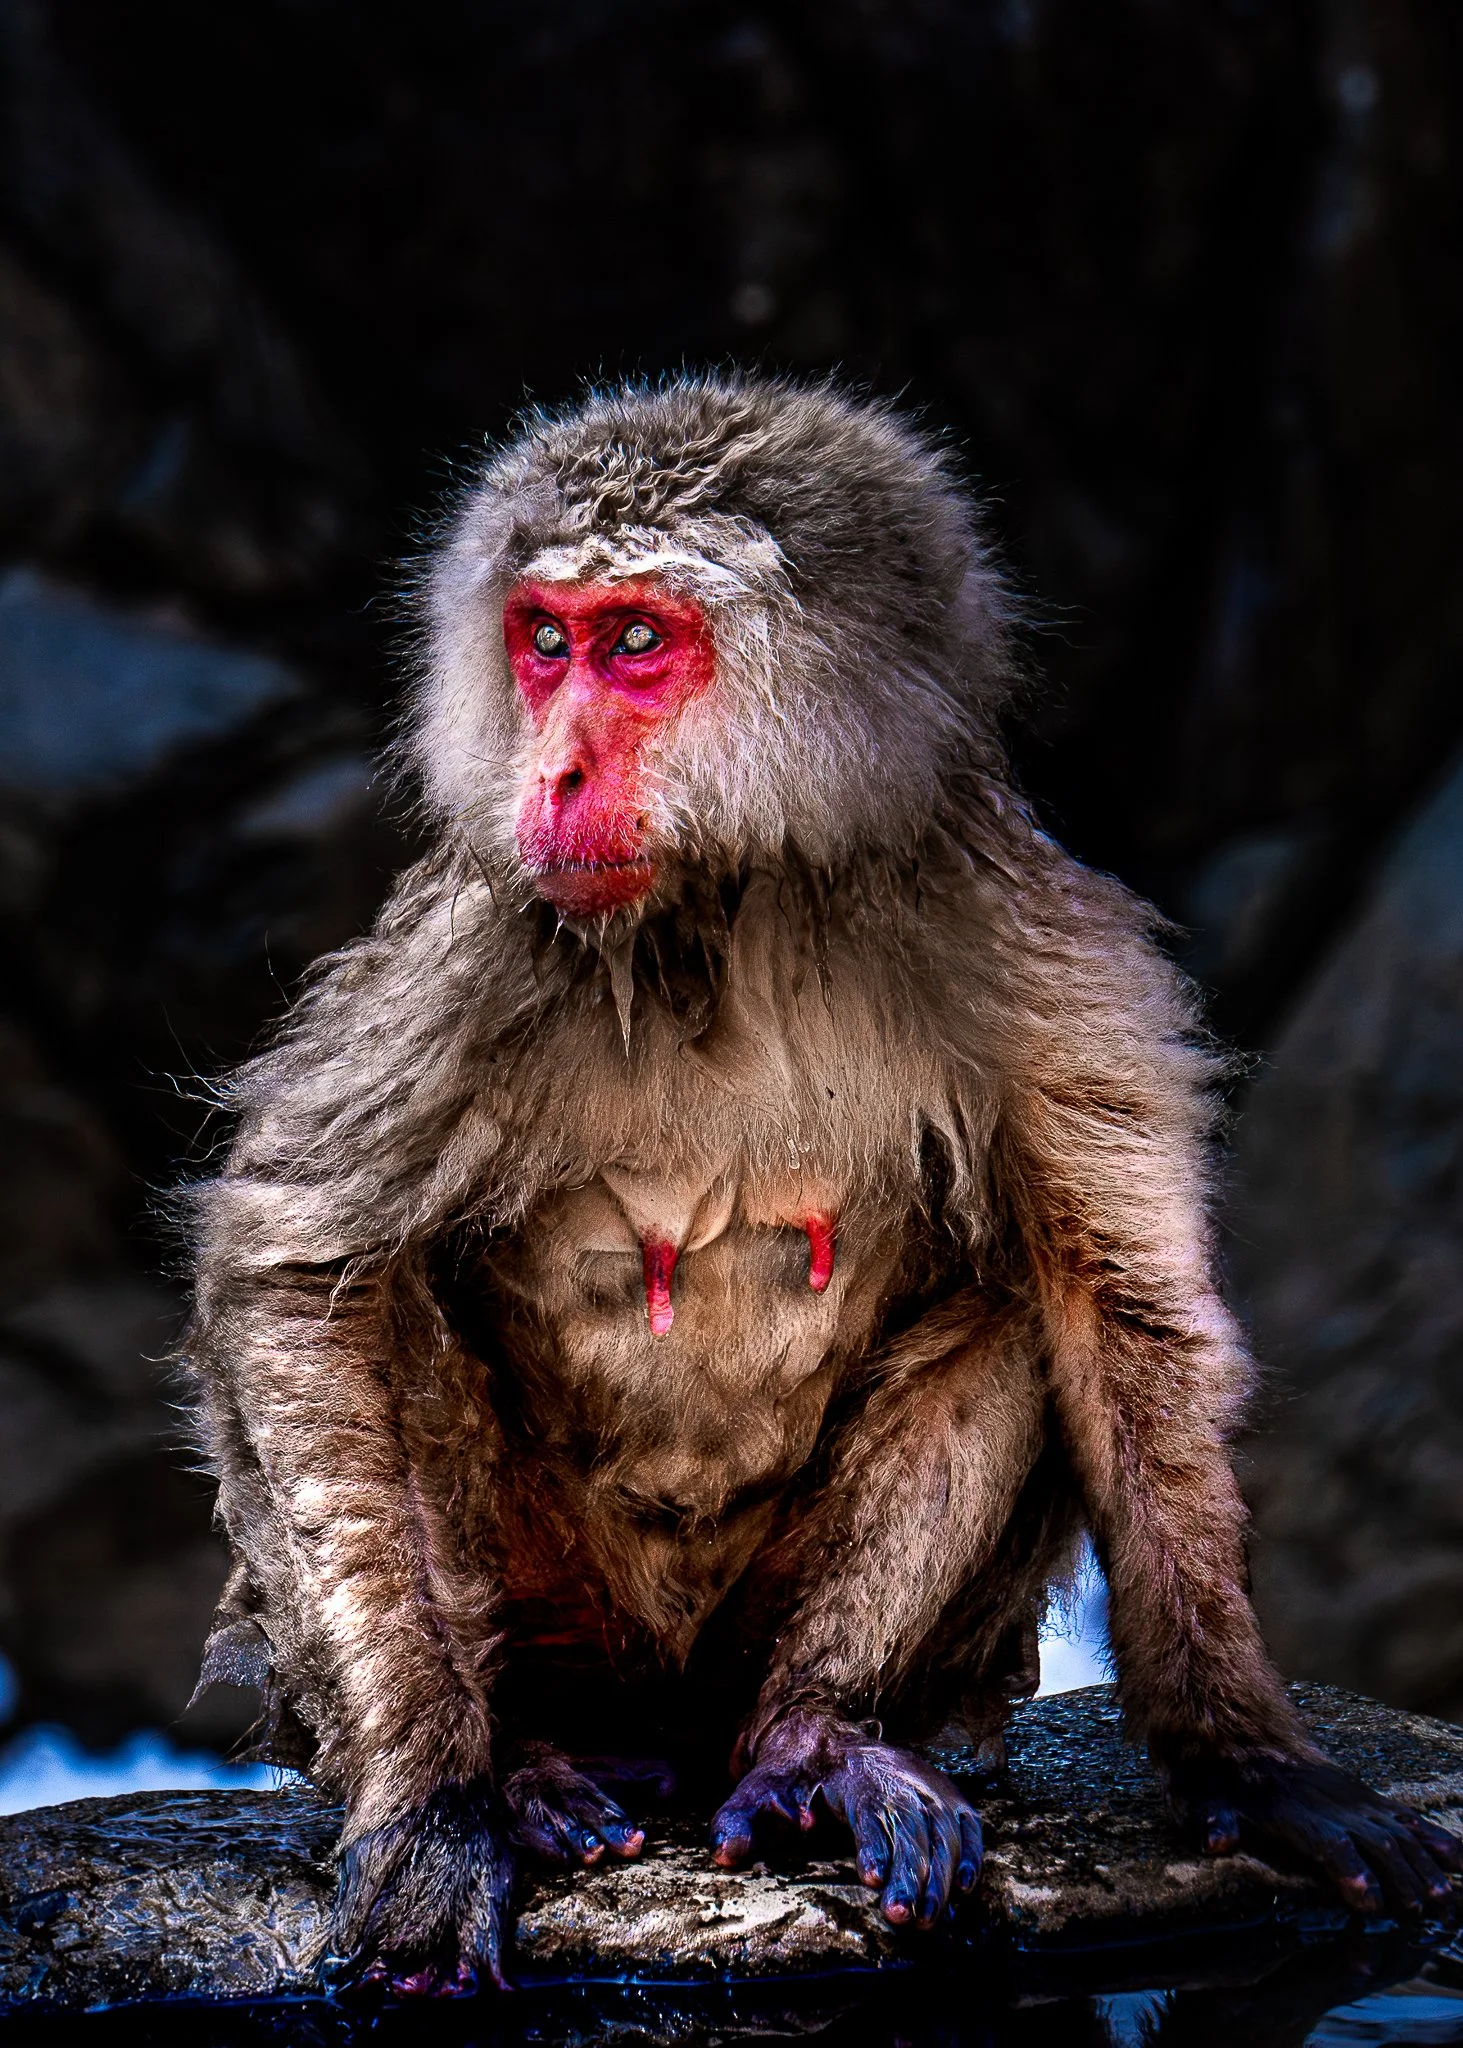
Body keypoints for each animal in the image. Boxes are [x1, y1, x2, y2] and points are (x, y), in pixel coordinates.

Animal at [184, 374, 1462, 1997]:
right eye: (544, 641)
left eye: (634, 643)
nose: (553, 773)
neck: (739, 901)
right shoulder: (478, 944)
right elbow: (302, 1277)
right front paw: (427, 1802)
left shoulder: (1034, 939)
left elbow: (1120, 1311)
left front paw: (1242, 1756)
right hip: (568, 1626)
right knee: (386, 1322)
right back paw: (523, 1760)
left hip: (771, 1660)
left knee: (1013, 1312)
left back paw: (813, 1738)